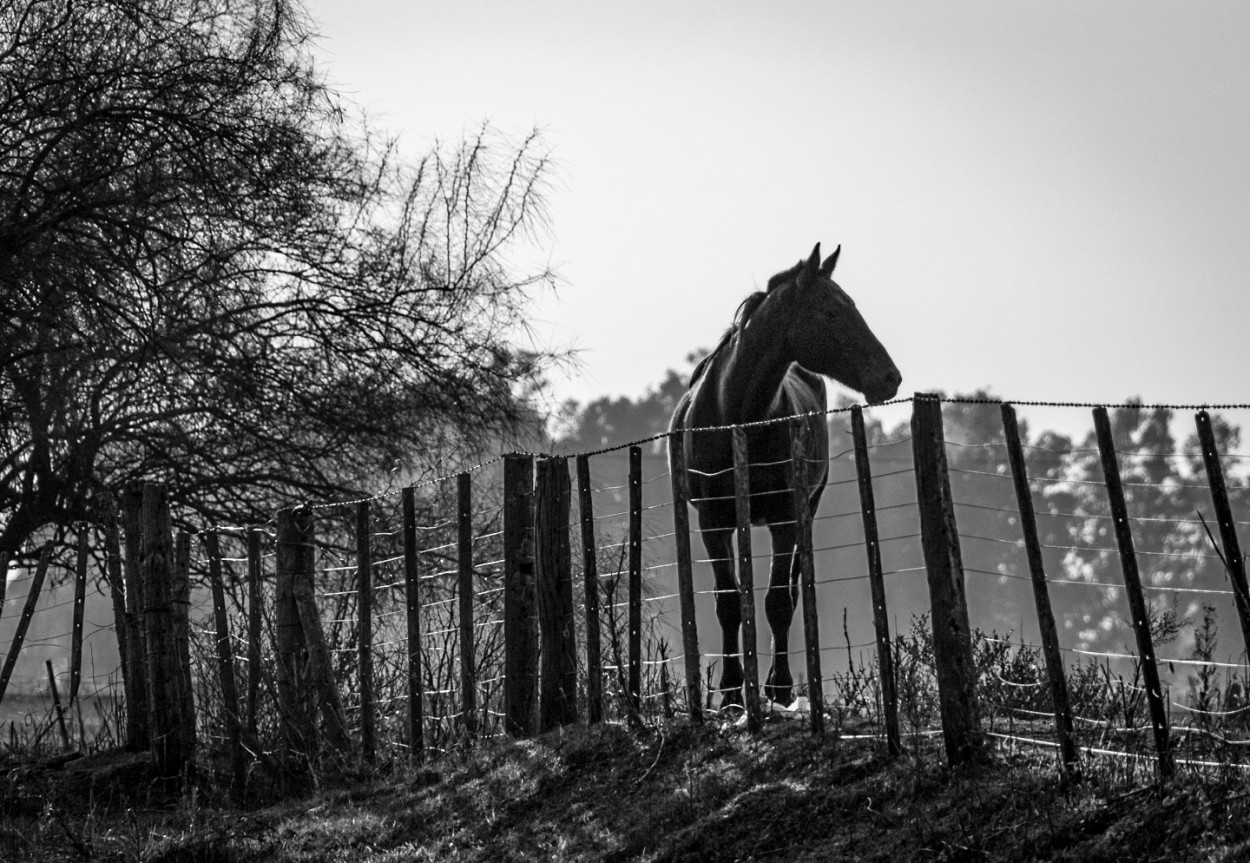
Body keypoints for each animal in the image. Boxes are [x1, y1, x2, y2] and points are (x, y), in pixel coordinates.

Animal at [670, 243, 905, 705]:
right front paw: (731, 691)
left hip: (805, 513)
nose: (890, 378)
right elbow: (728, 602)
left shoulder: (784, 518)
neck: (737, 416)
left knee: (794, 592)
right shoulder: (713, 521)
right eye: (830, 311)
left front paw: (778, 689)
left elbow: (779, 601)